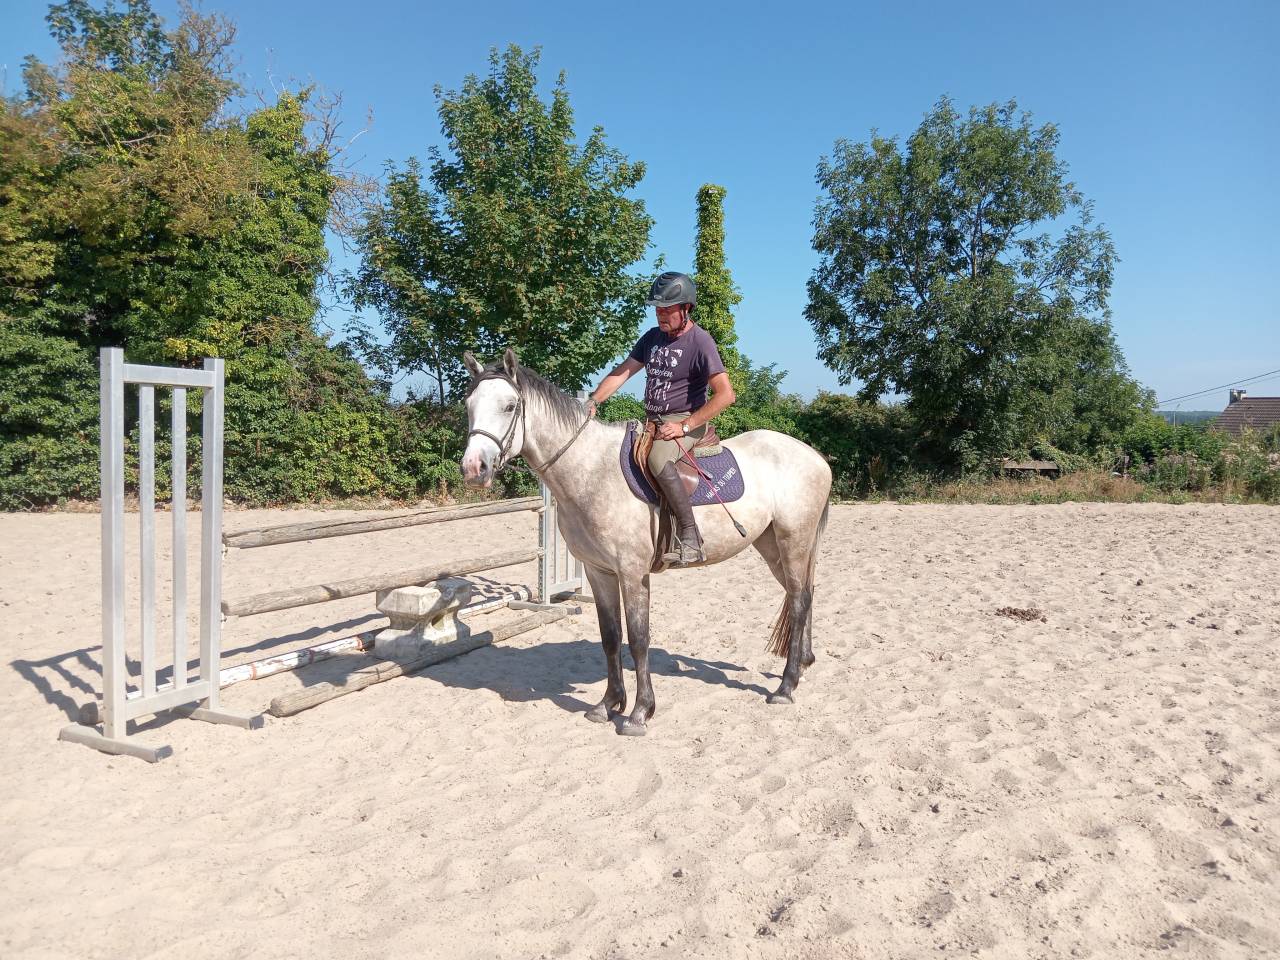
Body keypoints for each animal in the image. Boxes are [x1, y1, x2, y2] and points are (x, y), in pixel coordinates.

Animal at [461, 349, 831, 736]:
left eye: (509, 406)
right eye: (469, 405)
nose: (473, 468)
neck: (592, 472)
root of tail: (814, 456)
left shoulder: (632, 572)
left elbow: (638, 639)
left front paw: (639, 712)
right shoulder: (598, 572)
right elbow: (610, 637)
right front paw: (608, 704)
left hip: (794, 541)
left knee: (800, 600)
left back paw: (786, 686)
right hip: (773, 546)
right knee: (801, 594)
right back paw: (803, 662)